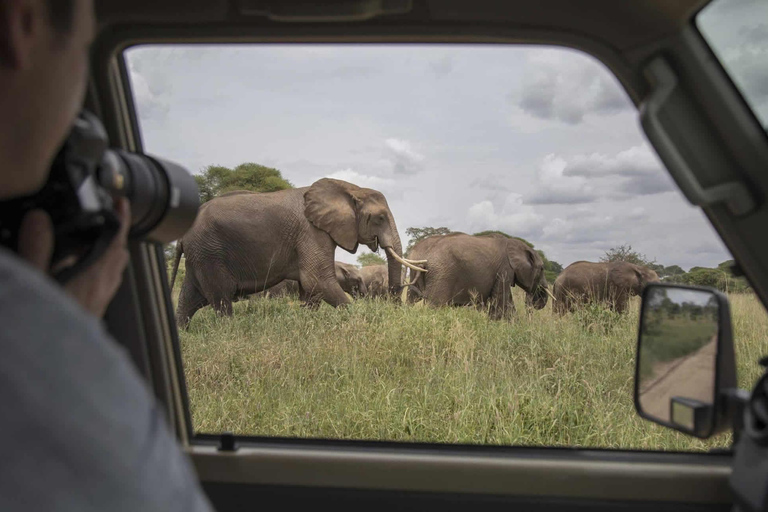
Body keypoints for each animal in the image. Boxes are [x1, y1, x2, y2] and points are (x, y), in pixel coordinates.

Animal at [170, 178, 426, 326]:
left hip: (201, 254)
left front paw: (306, 321)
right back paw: (230, 332)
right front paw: (359, 320)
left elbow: (312, 289)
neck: (349, 188)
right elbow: (317, 280)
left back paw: (183, 331)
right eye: (380, 218)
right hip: (210, 253)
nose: (395, 309)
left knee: (191, 298)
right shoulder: (311, 231)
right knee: (220, 298)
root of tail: (182, 237)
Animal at [408, 233, 552, 320]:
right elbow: (503, 302)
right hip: (442, 273)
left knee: (412, 298)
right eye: (542, 268)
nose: (532, 301)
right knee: (436, 305)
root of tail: (427, 256)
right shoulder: (505, 270)